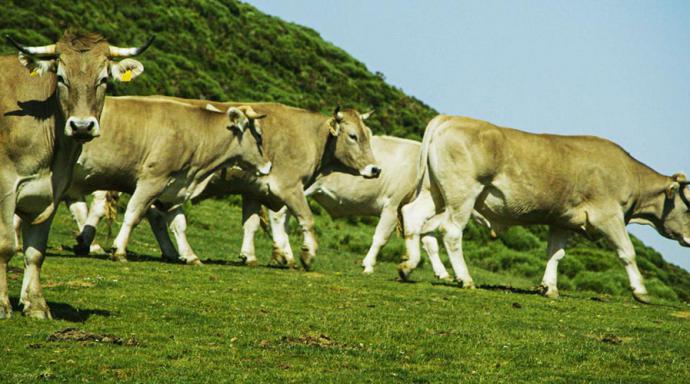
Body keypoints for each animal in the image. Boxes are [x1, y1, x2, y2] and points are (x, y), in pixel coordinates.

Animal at [0, 30, 151, 320]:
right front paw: (3, 306)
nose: (82, 126)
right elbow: (5, 245)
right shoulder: (5, 187)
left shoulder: (52, 191)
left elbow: (35, 252)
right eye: (60, 77)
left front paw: (36, 306)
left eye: (104, 79)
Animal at [71, 99, 376, 268]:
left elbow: (254, 224)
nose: (376, 169)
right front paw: (304, 255)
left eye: (368, 134)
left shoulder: (254, 190)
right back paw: (90, 243)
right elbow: (304, 219)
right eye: (352, 136)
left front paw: (254, 255)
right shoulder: (289, 186)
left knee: (152, 215)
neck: (311, 136)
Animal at [398, 114, 688, 304]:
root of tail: (449, 118)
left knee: (413, 216)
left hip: (433, 191)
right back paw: (464, 278)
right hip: (462, 194)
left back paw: (407, 266)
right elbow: (627, 252)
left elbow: (555, 255)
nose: (688, 237)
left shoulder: (562, 221)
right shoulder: (608, 216)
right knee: (450, 231)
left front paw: (549, 287)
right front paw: (641, 291)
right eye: (688, 208)